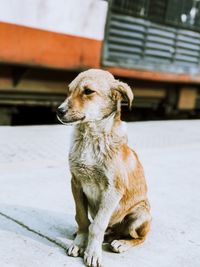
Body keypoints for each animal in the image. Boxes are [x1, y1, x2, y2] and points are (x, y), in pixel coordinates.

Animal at [57, 69, 151, 267]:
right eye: (69, 90)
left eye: (88, 91)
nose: (59, 111)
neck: (91, 137)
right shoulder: (76, 183)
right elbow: (82, 219)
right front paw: (80, 242)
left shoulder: (112, 190)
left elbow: (97, 225)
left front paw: (92, 252)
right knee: (108, 230)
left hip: (139, 215)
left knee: (138, 237)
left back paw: (121, 243)